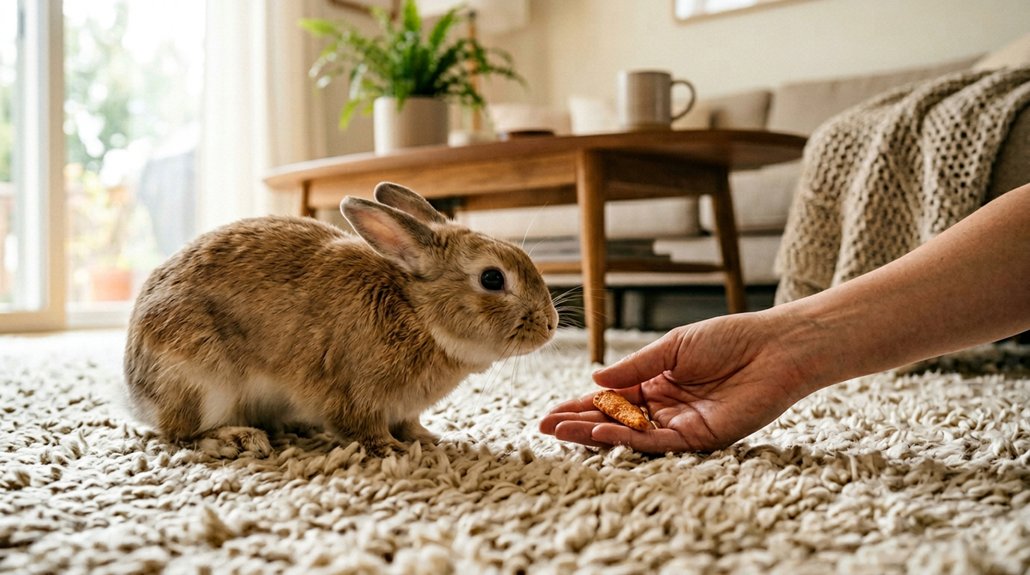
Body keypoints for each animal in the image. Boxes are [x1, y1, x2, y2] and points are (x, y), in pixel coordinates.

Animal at [123, 182, 558, 456]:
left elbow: (410, 423)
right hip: (202, 382)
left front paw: (429, 439)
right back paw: (239, 440)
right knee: (179, 434)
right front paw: (392, 449)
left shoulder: (403, 407)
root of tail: (137, 391)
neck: (417, 313)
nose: (551, 325)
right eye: (492, 278)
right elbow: (365, 428)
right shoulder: (358, 396)